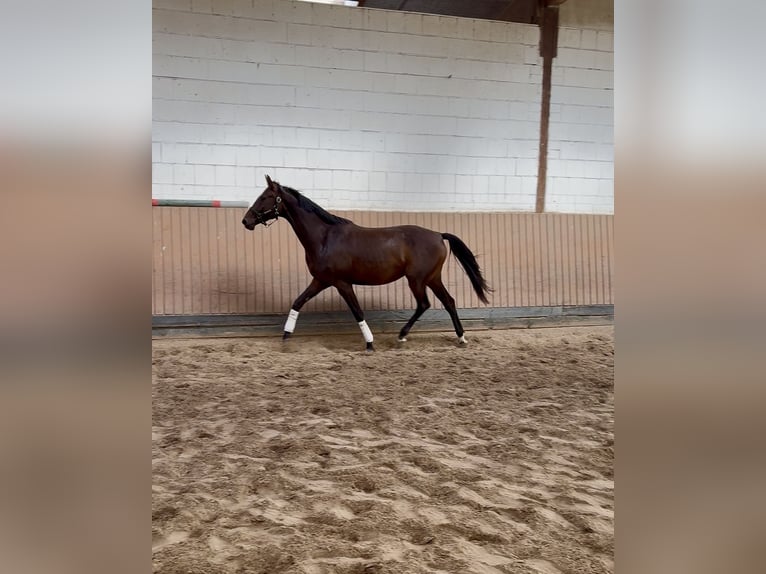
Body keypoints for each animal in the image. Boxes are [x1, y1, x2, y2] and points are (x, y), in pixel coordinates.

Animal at [242, 175, 491, 351]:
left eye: (264, 197)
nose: (246, 220)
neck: (324, 237)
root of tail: (439, 235)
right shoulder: (321, 280)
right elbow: (297, 301)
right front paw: (286, 336)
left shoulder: (342, 283)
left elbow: (357, 311)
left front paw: (370, 343)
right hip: (432, 278)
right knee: (448, 301)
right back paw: (461, 338)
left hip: (417, 279)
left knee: (424, 304)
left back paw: (402, 336)